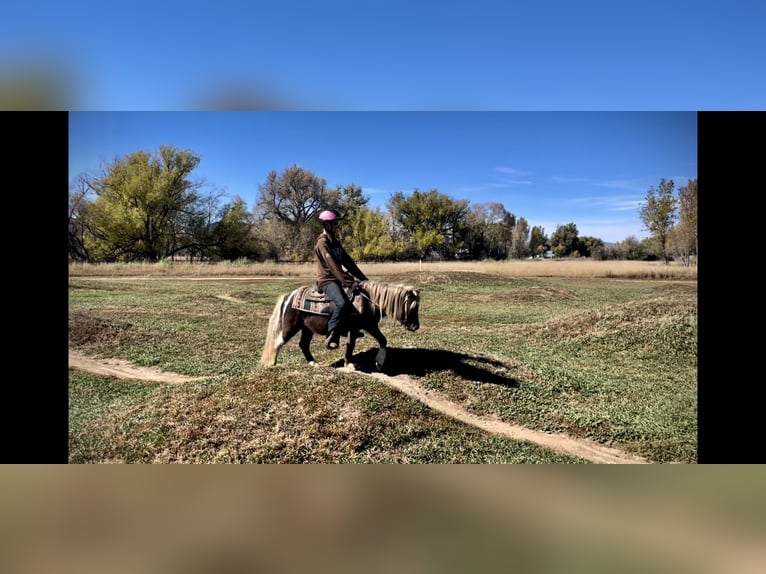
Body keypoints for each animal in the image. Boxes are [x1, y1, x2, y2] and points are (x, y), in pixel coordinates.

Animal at [260, 279, 420, 371]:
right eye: (412, 307)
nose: (415, 327)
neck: (367, 300)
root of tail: (289, 296)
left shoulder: (369, 326)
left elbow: (382, 340)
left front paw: (379, 363)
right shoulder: (356, 328)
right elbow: (351, 345)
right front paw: (349, 364)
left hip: (307, 329)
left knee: (303, 345)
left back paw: (312, 363)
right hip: (291, 327)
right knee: (278, 342)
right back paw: (272, 363)